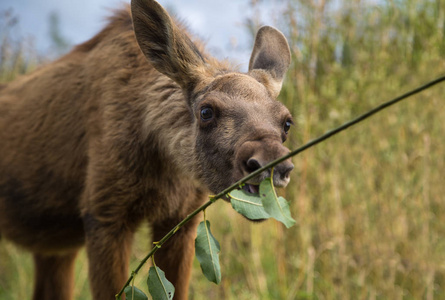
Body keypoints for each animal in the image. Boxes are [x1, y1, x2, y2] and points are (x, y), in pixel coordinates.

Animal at [0, 0, 294, 298]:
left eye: (287, 122)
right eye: (206, 111)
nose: (272, 163)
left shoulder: (181, 218)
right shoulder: (103, 212)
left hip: (54, 249)